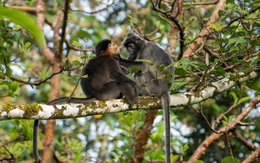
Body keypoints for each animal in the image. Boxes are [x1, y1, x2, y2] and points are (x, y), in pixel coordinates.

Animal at [112, 32, 174, 163]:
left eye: (130, 46)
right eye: (127, 47)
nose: (129, 51)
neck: (142, 46)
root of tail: (165, 90)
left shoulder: (146, 50)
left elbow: (143, 66)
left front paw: (119, 58)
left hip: (153, 86)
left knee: (141, 72)